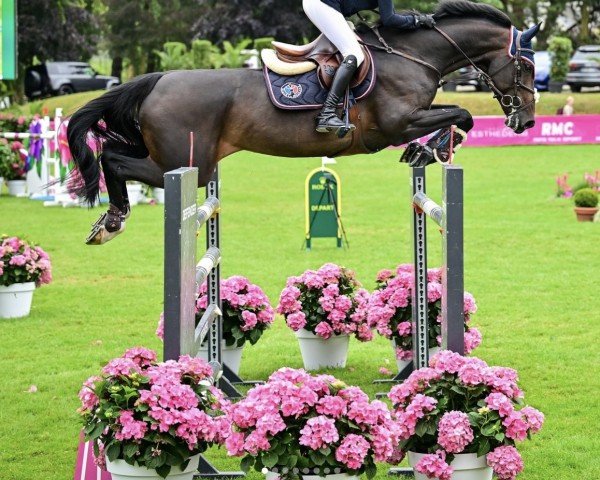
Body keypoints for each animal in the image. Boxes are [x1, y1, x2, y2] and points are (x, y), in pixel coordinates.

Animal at [68, 0, 540, 246]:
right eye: (526, 66)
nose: (526, 119)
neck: (412, 55)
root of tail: (158, 78)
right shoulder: (395, 124)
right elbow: (463, 113)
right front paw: (431, 147)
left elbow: (458, 113)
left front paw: (427, 149)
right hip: (189, 166)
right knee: (113, 159)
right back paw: (113, 221)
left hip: (172, 155)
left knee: (114, 154)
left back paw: (107, 220)